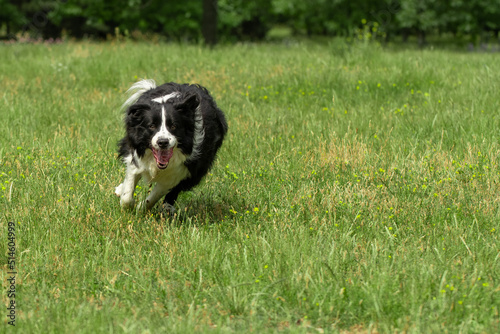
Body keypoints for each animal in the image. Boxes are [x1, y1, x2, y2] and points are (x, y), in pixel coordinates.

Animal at [114, 79, 228, 213]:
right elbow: (128, 190)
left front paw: (141, 208)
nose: (163, 142)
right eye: (151, 126)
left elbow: (157, 193)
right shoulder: (136, 152)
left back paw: (167, 208)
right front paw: (128, 205)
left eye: (174, 126)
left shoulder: (181, 171)